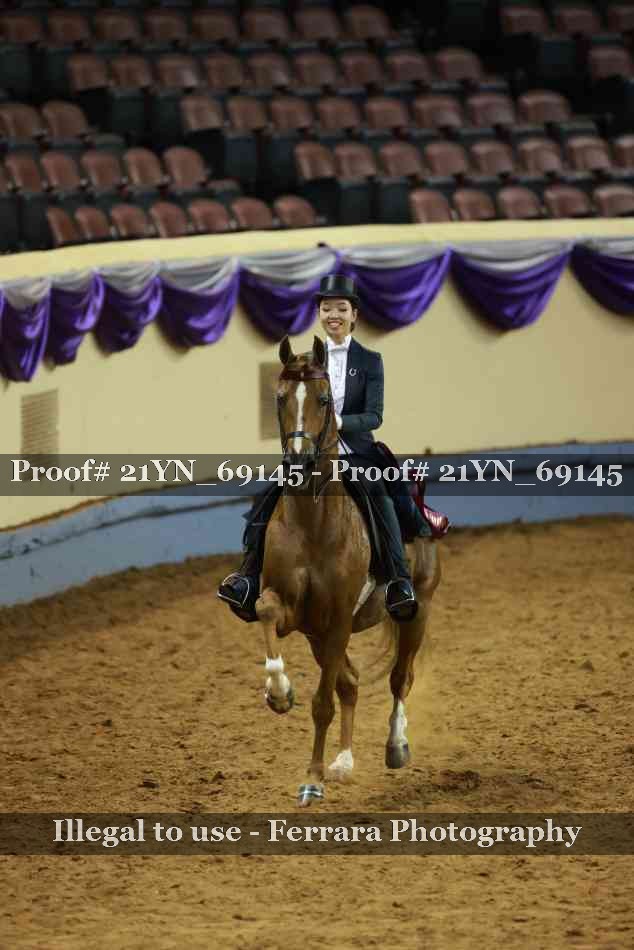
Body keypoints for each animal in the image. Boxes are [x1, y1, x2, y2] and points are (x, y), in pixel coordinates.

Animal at [255, 334, 441, 806]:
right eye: (279, 397)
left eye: (324, 399)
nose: (298, 463)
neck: (313, 520)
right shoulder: (296, 614)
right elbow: (265, 611)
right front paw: (279, 694)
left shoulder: (338, 619)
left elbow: (323, 703)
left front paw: (312, 780)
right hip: (318, 636)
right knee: (352, 682)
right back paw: (343, 760)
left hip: (416, 611)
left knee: (399, 679)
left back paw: (396, 746)